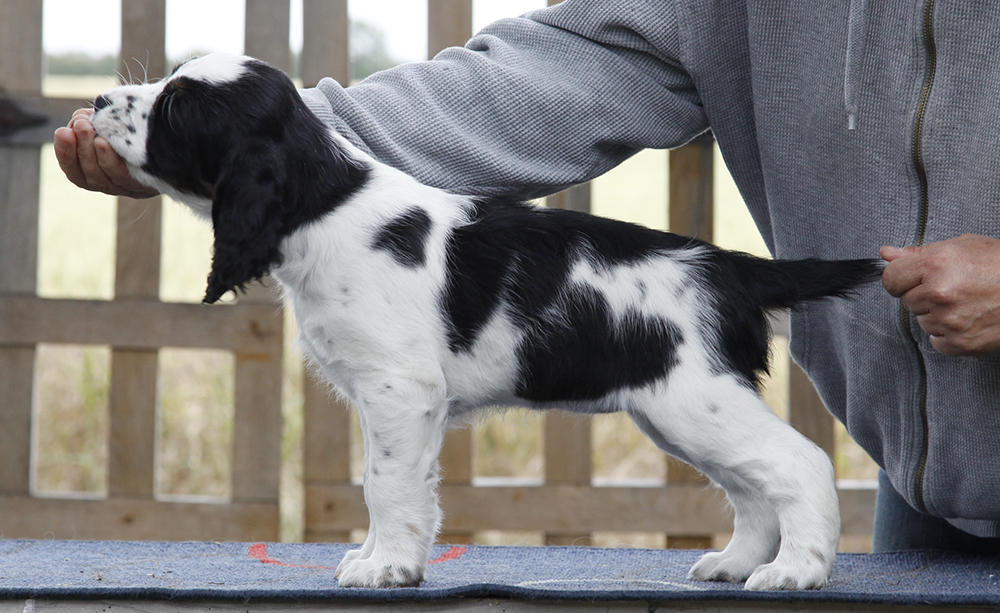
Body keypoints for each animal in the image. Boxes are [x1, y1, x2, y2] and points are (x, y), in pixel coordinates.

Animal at [90, 55, 880, 592]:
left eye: (177, 106)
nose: (96, 97)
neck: (326, 203)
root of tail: (729, 266)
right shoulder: (386, 397)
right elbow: (385, 480)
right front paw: (379, 556)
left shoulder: (400, 389)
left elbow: (387, 482)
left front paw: (388, 568)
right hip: (677, 411)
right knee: (749, 485)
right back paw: (736, 562)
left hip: (695, 398)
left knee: (799, 463)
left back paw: (796, 571)